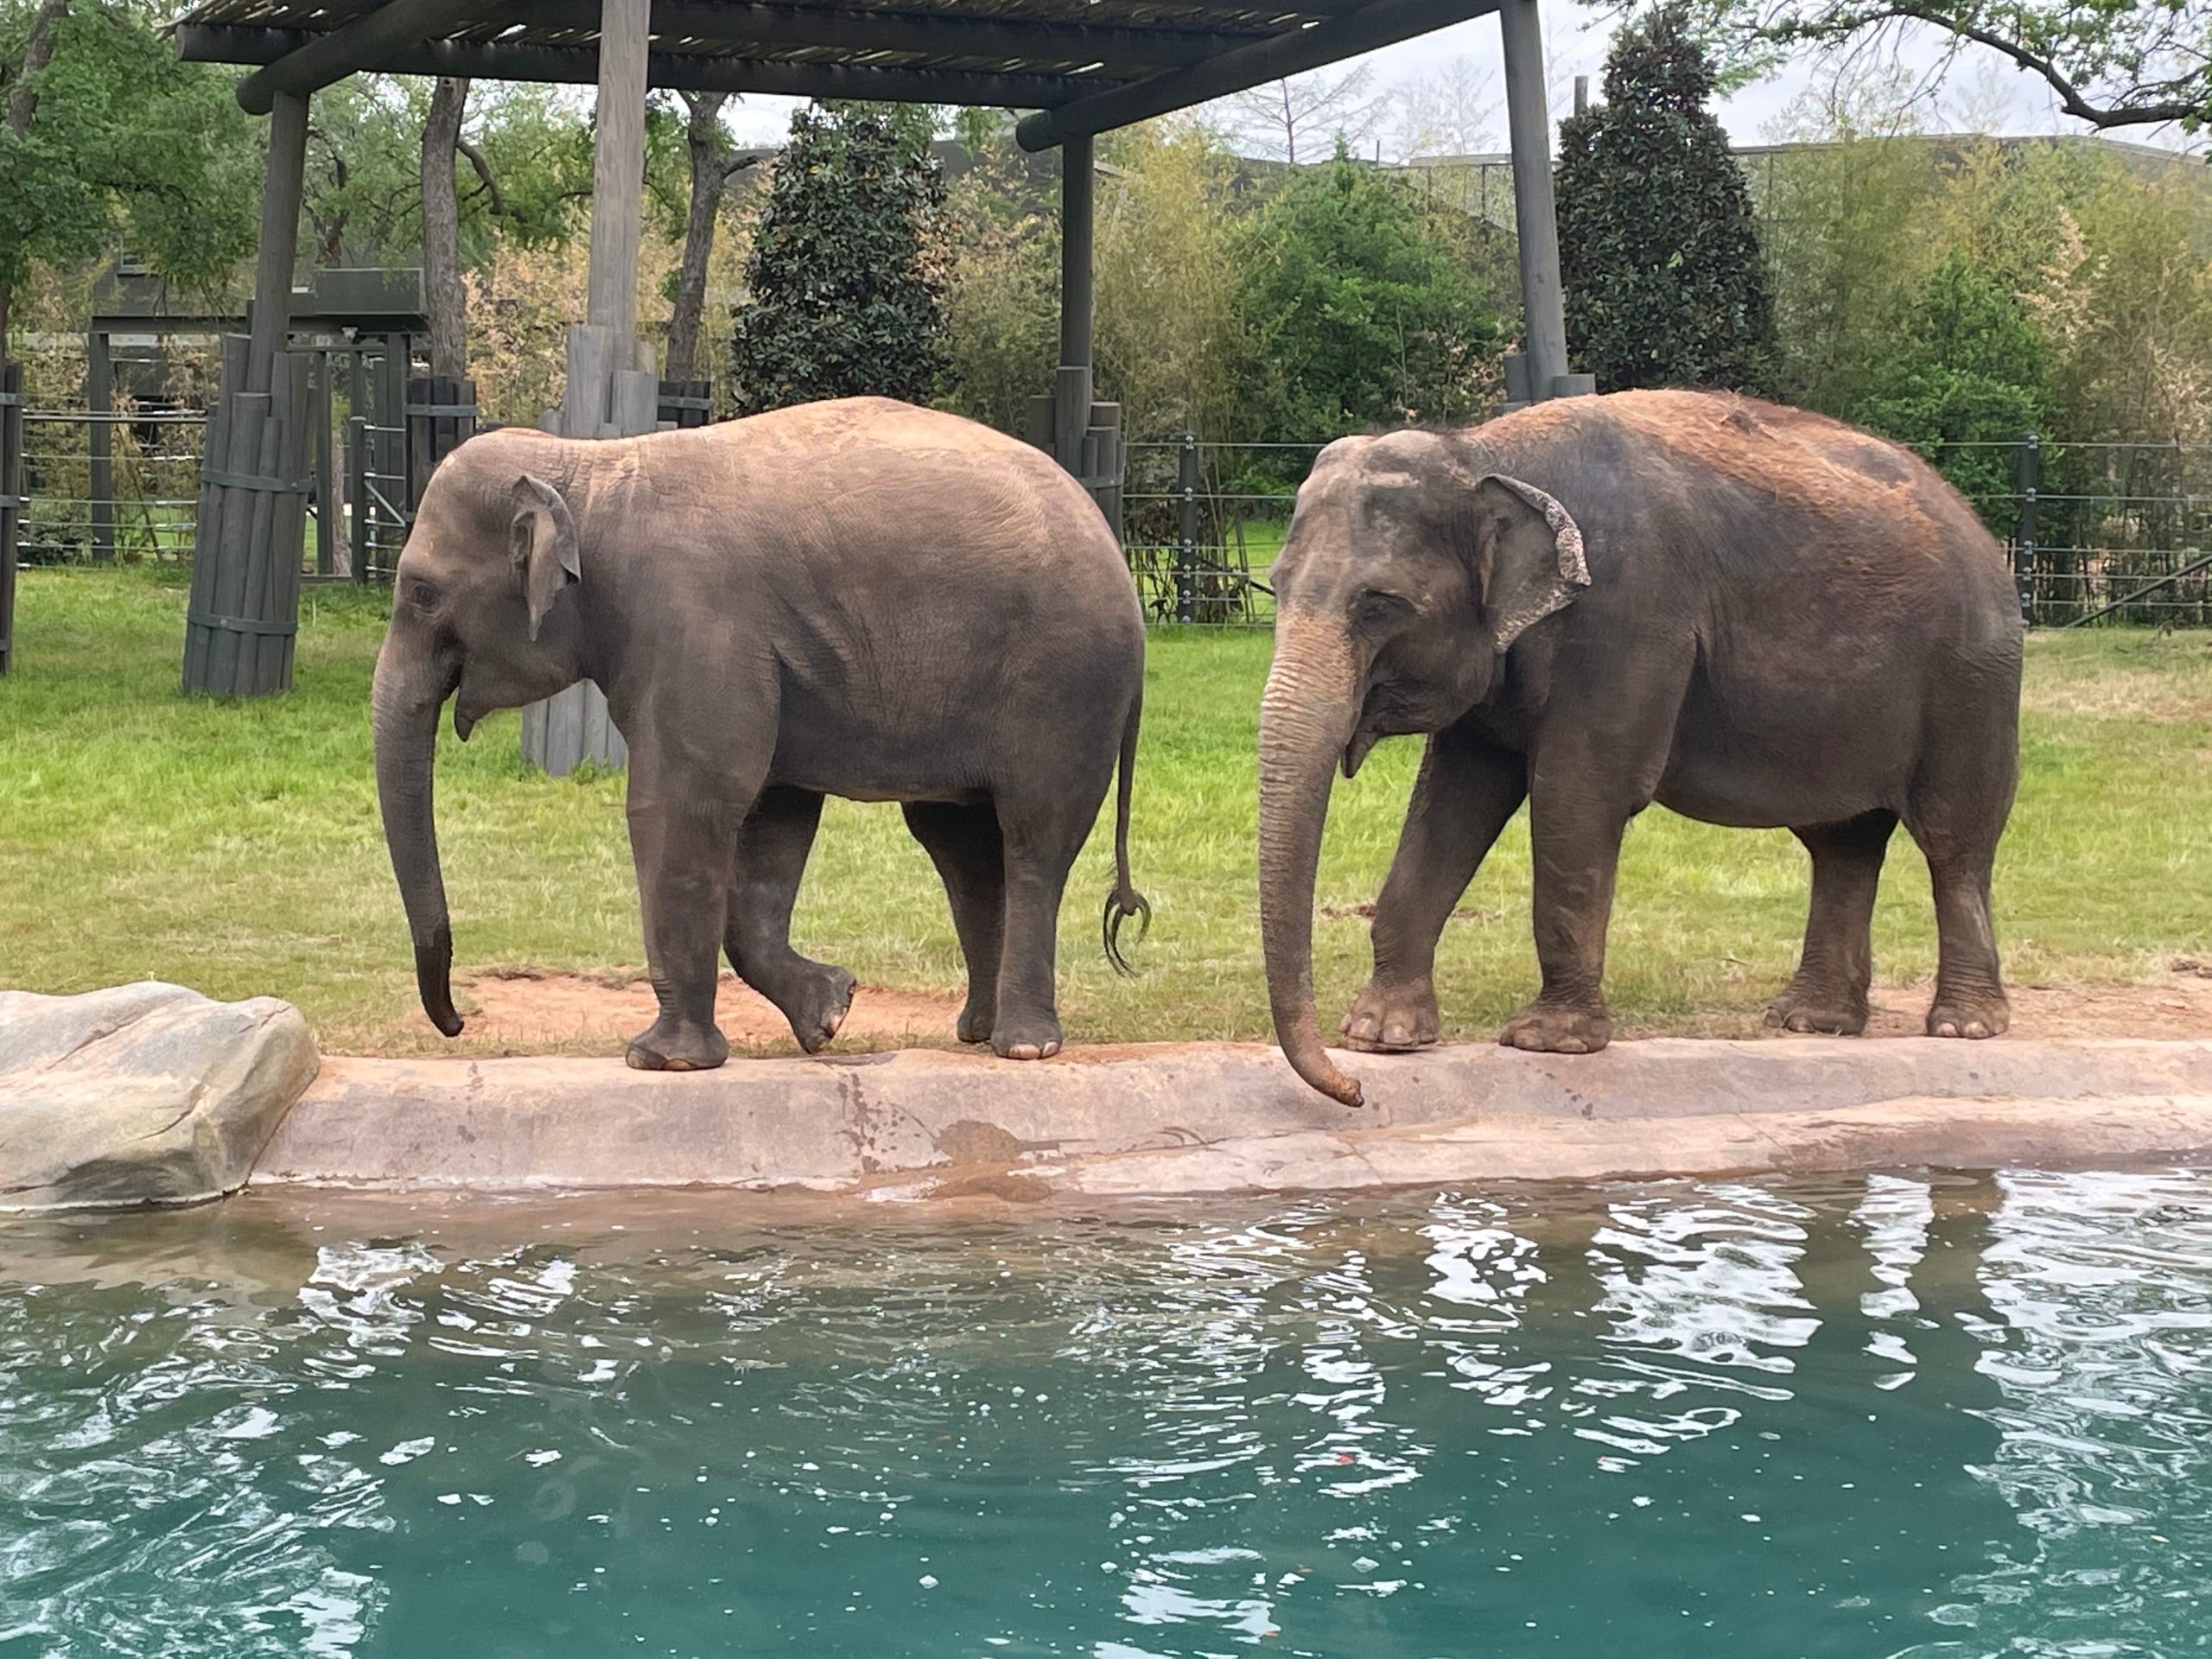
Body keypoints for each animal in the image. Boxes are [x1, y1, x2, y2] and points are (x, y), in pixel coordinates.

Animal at [372, 396, 1149, 1072]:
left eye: (421, 594)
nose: (457, 1022)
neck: (587, 469)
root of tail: (1121, 560)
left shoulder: (692, 622)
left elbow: (682, 803)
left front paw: (660, 1061)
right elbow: (773, 820)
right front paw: (830, 1014)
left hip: (1064, 686)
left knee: (1033, 837)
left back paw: (1025, 1047)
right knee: (962, 847)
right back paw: (976, 1033)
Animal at [1258, 389, 2023, 1107]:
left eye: (1378, 606)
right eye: (1275, 586)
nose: (1354, 1092)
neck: (1481, 452)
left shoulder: (1628, 614)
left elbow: (1576, 793)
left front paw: (1549, 1042)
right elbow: (1453, 801)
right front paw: (1381, 1035)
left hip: (1972, 681)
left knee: (1954, 841)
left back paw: (1962, 1026)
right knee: (1843, 843)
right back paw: (1811, 1022)